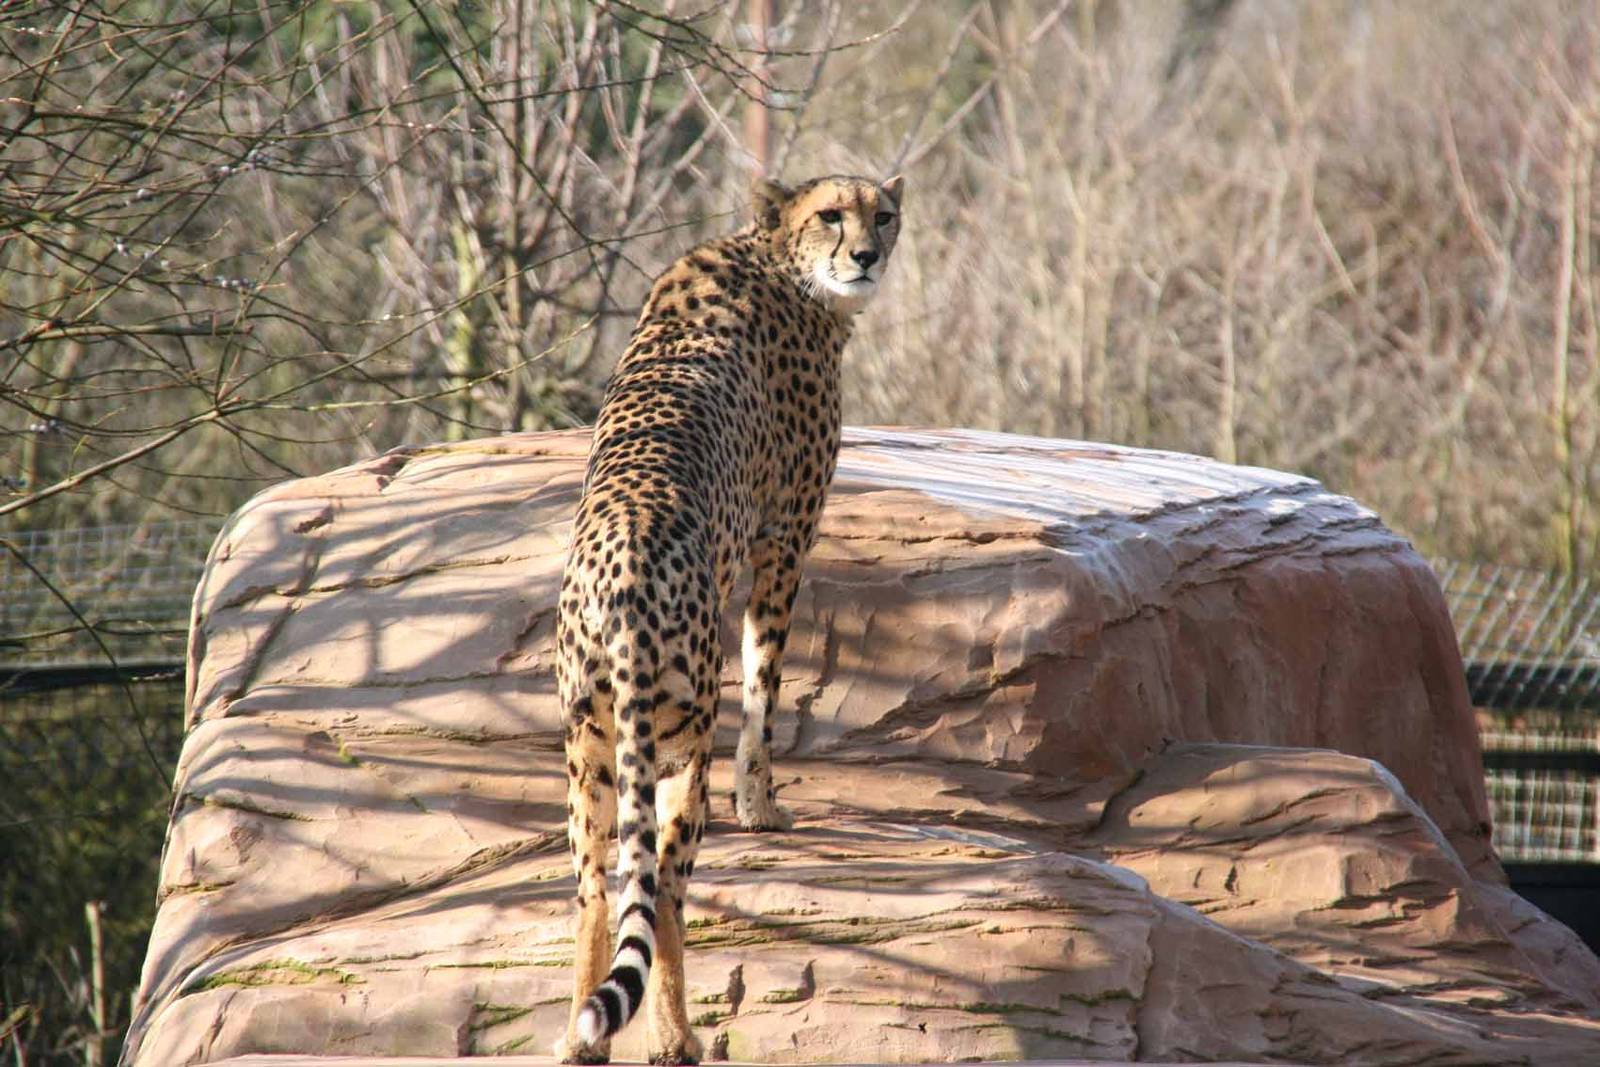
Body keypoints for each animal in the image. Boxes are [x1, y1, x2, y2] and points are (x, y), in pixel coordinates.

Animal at [552, 172, 904, 1065]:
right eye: (832, 215)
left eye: (883, 214)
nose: (867, 254)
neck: (775, 257)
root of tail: (621, 566)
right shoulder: (785, 535)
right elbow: (766, 679)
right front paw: (763, 803)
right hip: (679, 729)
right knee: (666, 887)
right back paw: (675, 1034)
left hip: (589, 740)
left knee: (598, 886)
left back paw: (582, 1034)